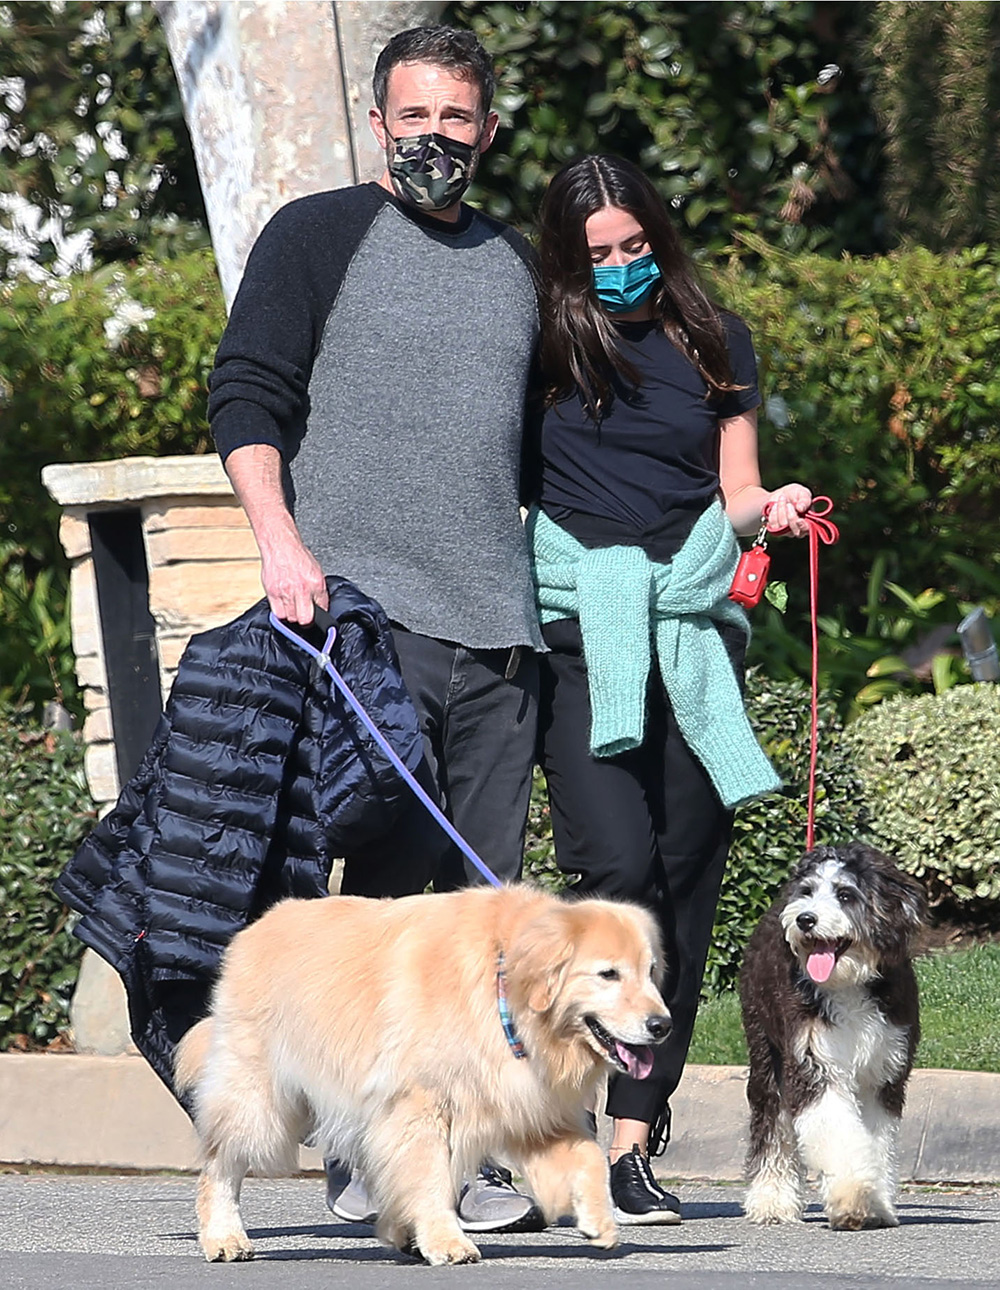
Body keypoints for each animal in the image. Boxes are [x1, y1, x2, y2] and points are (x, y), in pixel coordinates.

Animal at [738, 846, 929, 1228]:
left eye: (844, 895)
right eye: (808, 891)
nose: (805, 920)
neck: (849, 984)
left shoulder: (884, 1072)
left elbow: (874, 1141)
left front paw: (876, 1204)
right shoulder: (813, 1062)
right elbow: (838, 1134)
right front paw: (854, 1197)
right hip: (765, 1045)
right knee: (773, 1122)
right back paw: (771, 1200)